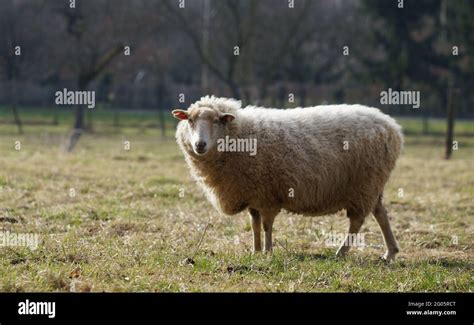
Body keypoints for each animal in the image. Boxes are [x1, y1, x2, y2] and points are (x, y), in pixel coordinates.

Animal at [172, 95, 402, 260]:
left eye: (216, 121)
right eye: (190, 120)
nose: (200, 145)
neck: (239, 136)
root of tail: (392, 126)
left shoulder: (267, 195)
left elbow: (266, 225)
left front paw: (267, 252)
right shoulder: (253, 194)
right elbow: (254, 224)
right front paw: (255, 250)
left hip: (364, 183)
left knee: (357, 221)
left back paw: (341, 252)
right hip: (373, 184)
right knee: (381, 213)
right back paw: (390, 253)